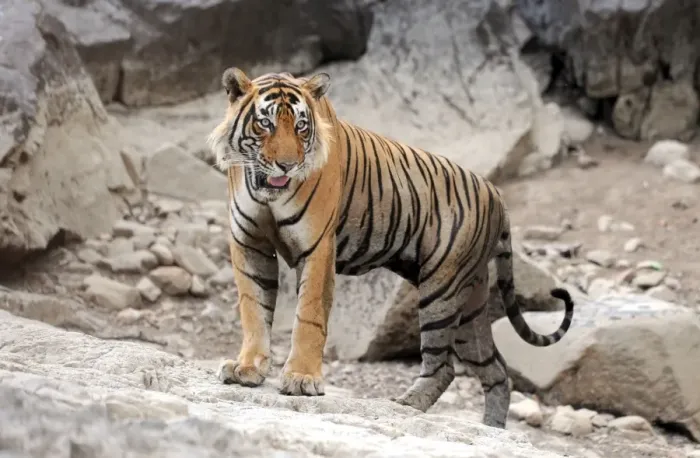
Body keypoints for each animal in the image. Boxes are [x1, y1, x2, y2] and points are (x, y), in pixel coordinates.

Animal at [207, 67, 574, 428]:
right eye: (265, 123)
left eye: (301, 126)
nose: (288, 165)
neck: (266, 192)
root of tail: (496, 193)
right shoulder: (249, 243)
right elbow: (253, 309)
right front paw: (247, 369)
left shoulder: (317, 247)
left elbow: (308, 316)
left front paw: (301, 378)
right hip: (472, 302)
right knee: (495, 369)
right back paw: (491, 428)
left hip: (441, 289)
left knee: (444, 367)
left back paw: (406, 404)